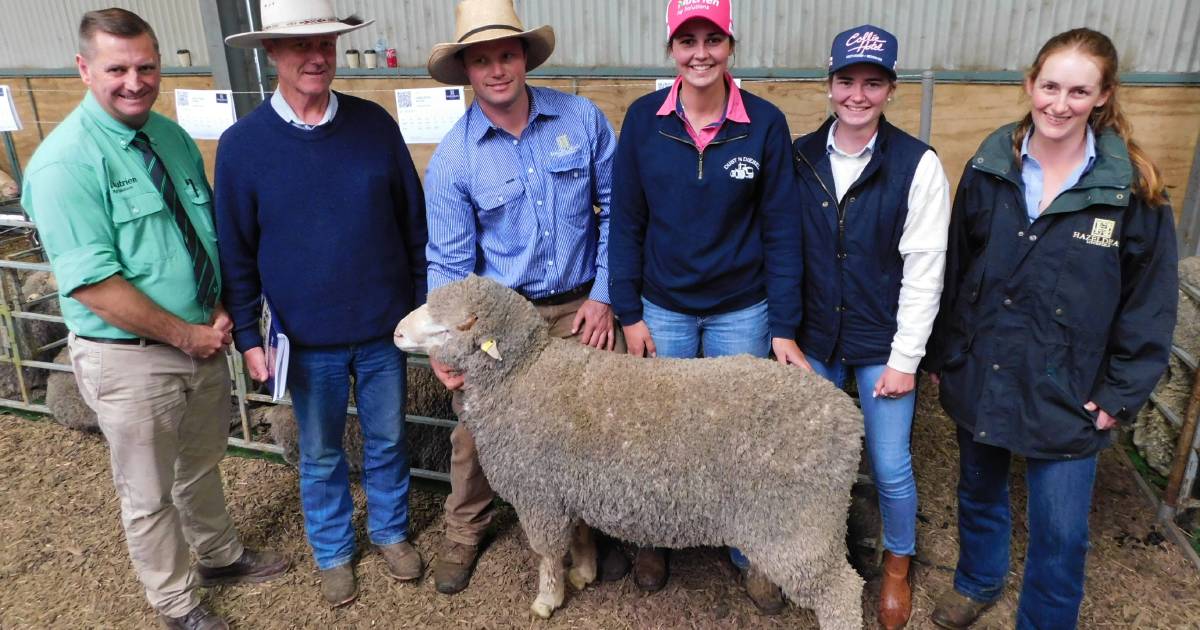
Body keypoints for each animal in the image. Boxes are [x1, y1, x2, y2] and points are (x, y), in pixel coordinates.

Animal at [398, 276, 868, 628]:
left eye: (451, 327)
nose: (398, 332)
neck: (524, 373)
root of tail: (849, 418)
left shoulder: (539, 496)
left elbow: (548, 553)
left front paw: (548, 599)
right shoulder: (568, 486)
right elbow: (580, 534)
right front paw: (584, 573)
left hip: (799, 526)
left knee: (842, 591)